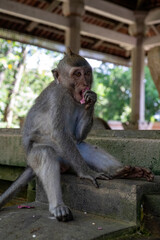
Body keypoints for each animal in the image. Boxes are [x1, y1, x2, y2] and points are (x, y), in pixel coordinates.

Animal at [0, 48, 154, 221]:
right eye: (77, 74)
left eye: (87, 73)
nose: (85, 84)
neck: (68, 92)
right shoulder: (57, 97)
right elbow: (60, 134)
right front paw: (87, 173)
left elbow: (77, 136)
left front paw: (92, 99)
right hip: (36, 156)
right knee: (46, 153)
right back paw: (58, 208)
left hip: (67, 158)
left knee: (81, 146)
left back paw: (123, 171)